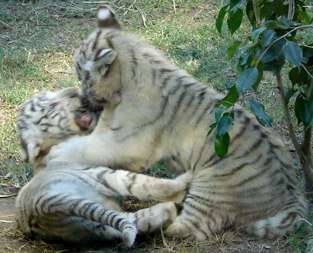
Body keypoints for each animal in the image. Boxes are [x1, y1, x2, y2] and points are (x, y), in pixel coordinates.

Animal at [15, 87, 191, 247]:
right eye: (51, 107)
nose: (72, 91)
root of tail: (41, 205)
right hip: (101, 175)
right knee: (151, 186)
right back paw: (186, 182)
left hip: (97, 226)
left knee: (133, 221)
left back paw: (169, 211)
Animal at [48, 5, 308, 239]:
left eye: (83, 77)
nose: (82, 97)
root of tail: (292, 196)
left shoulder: (128, 143)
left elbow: (87, 148)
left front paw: (56, 153)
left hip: (210, 185)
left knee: (189, 228)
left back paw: (157, 221)